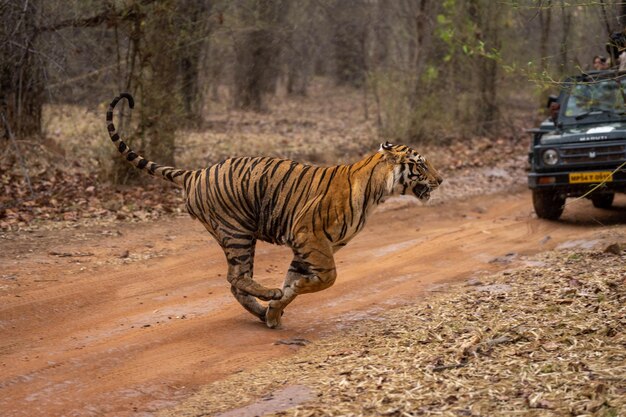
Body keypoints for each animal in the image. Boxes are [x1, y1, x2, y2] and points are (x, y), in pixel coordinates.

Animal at [106, 92, 438, 326]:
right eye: (421, 164)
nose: (441, 179)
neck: (378, 191)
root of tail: (195, 173)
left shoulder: (308, 246)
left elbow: (295, 282)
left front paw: (276, 312)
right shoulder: (310, 236)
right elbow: (327, 278)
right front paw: (281, 300)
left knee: (235, 282)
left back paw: (260, 309)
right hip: (238, 232)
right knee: (235, 278)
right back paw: (267, 295)